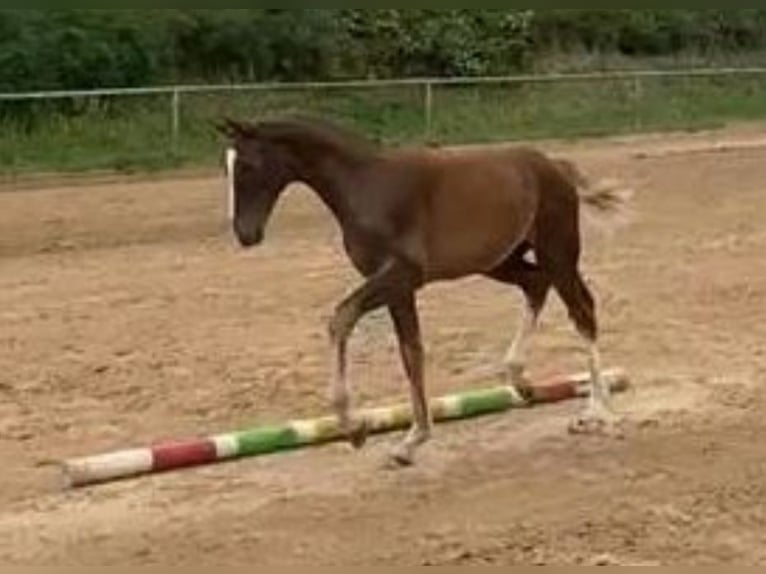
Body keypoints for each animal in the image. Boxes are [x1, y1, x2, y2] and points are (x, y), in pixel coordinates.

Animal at [219, 116, 632, 468]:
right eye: (226, 169)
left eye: (248, 167)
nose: (245, 234)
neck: (365, 185)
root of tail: (554, 166)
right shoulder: (398, 288)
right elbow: (411, 353)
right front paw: (409, 442)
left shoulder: (401, 275)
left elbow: (342, 318)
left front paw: (357, 429)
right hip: (501, 262)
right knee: (537, 285)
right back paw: (521, 381)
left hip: (557, 251)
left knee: (582, 311)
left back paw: (595, 412)